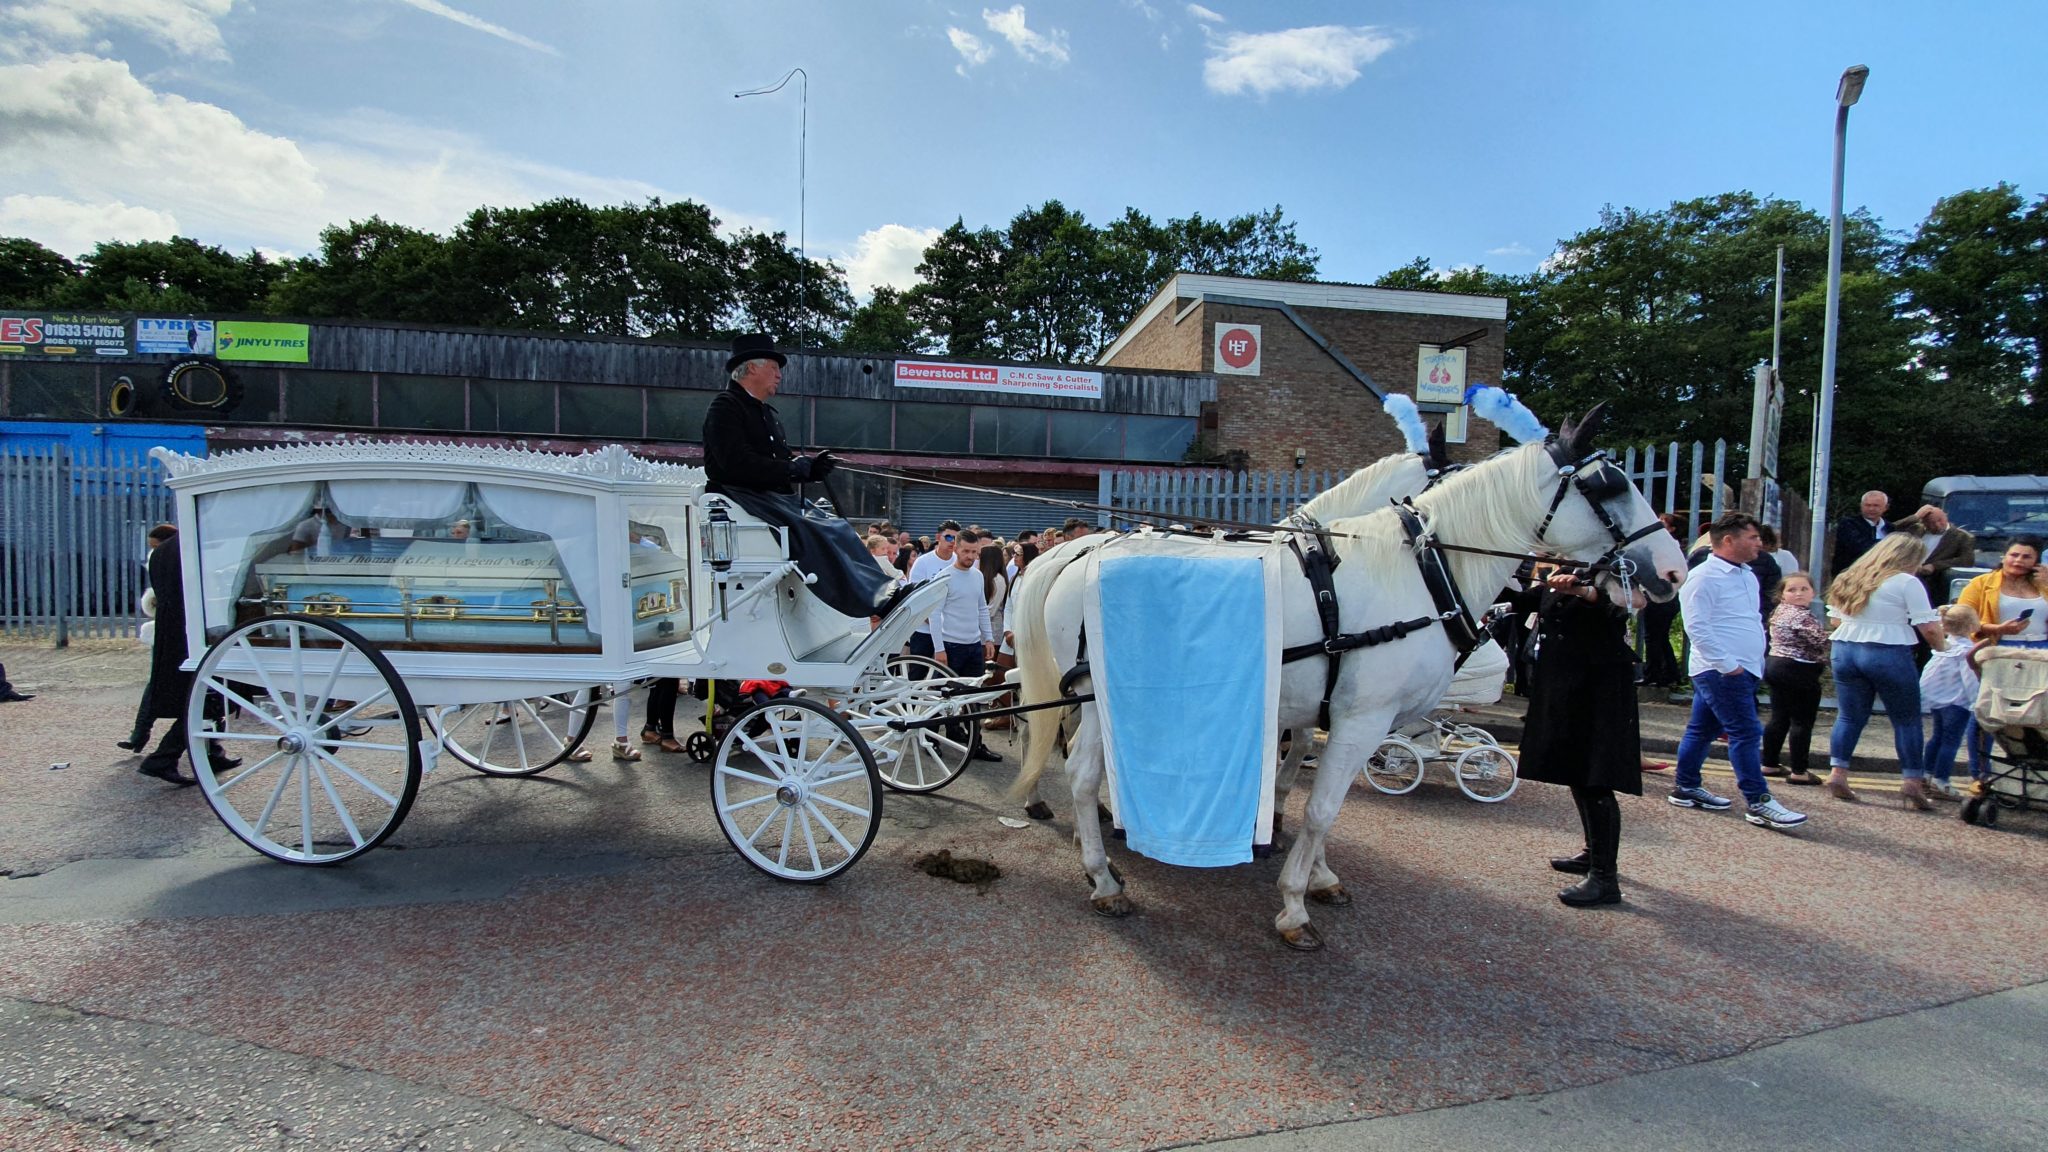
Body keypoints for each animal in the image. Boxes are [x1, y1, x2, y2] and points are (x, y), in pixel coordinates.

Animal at [1007, 407, 1679, 947]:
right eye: (1611, 485)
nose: (1670, 571)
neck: (1412, 573)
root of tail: (1080, 555)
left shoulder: (1329, 714)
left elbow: (1318, 791)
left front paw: (1315, 871)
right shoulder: (1360, 718)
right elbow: (1322, 808)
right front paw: (1294, 905)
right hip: (1104, 698)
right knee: (1081, 770)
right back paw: (1102, 878)